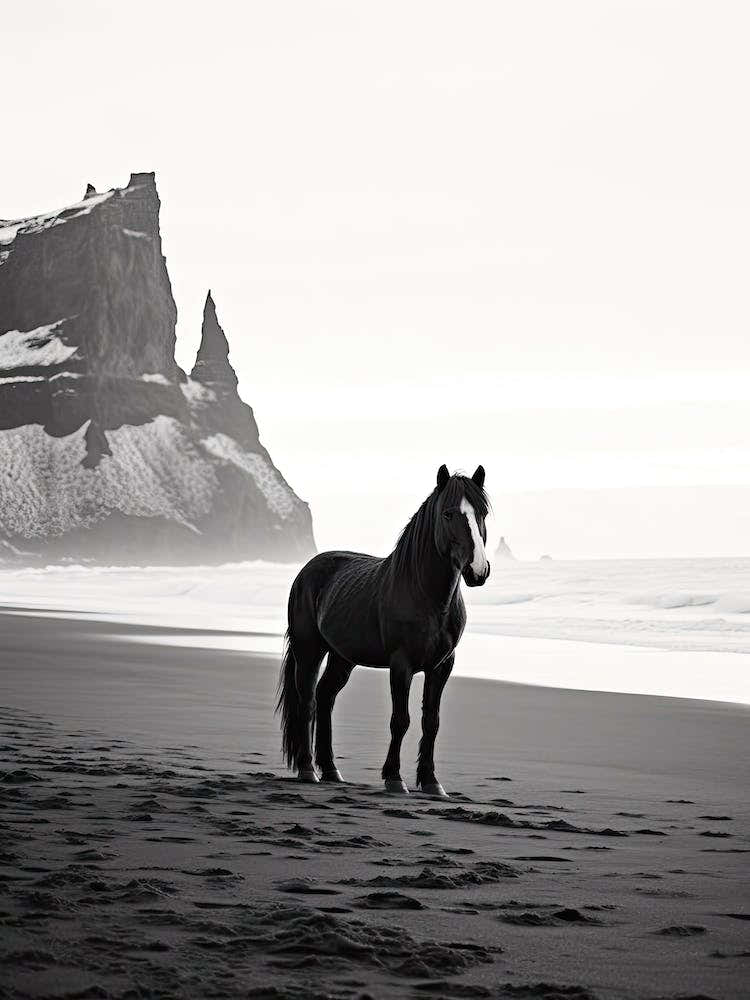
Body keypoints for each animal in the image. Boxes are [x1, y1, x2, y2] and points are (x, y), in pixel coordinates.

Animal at [276, 464, 490, 798]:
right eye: (448, 514)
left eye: (482, 513)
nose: (478, 571)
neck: (426, 596)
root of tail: (308, 570)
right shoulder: (401, 665)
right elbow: (400, 720)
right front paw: (394, 779)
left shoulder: (442, 666)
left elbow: (431, 722)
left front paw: (432, 782)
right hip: (309, 651)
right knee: (307, 701)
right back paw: (308, 771)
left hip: (342, 657)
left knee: (325, 698)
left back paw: (332, 771)